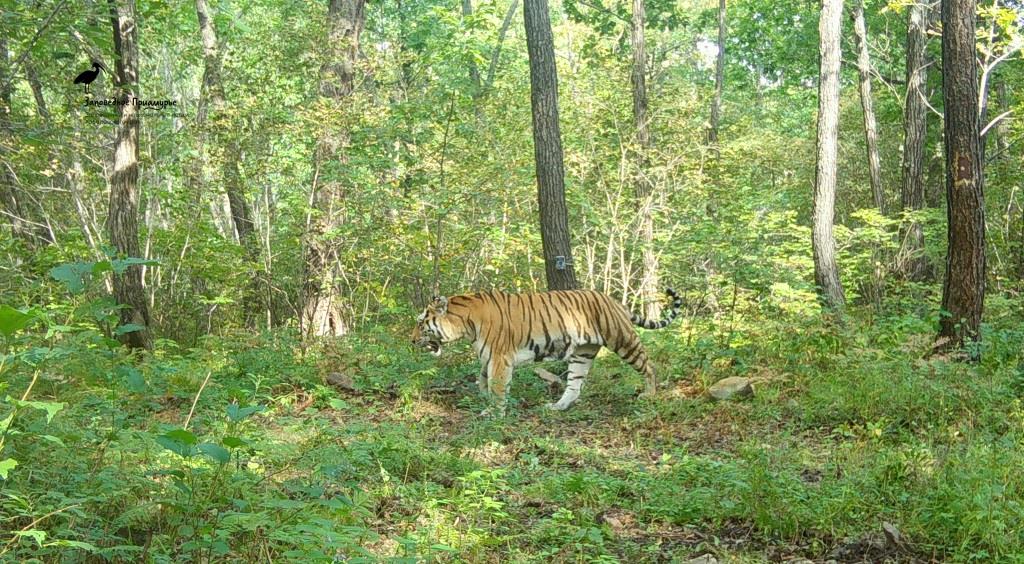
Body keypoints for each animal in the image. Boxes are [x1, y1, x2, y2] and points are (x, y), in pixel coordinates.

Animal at [407, 288, 679, 417]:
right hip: (583, 353)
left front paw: (494, 412)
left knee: (649, 366)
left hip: (622, 339)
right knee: (575, 385)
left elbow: (497, 386)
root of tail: (613, 300)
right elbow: (483, 380)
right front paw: (484, 401)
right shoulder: (488, 358)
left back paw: (649, 394)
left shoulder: (499, 357)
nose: (411, 340)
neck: (466, 323)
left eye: (421, 323)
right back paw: (558, 406)